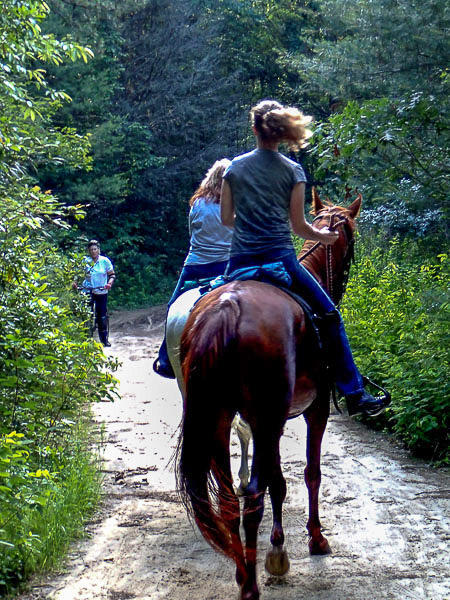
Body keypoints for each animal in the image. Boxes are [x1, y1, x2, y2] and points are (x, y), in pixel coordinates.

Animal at [176, 190, 362, 600]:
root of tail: (228, 308)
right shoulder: (313, 410)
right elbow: (310, 473)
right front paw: (313, 540)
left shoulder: (271, 421)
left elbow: (279, 480)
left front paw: (277, 550)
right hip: (263, 415)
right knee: (253, 494)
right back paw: (250, 584)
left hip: (219, 417)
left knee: (230, 496)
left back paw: (242, 570)